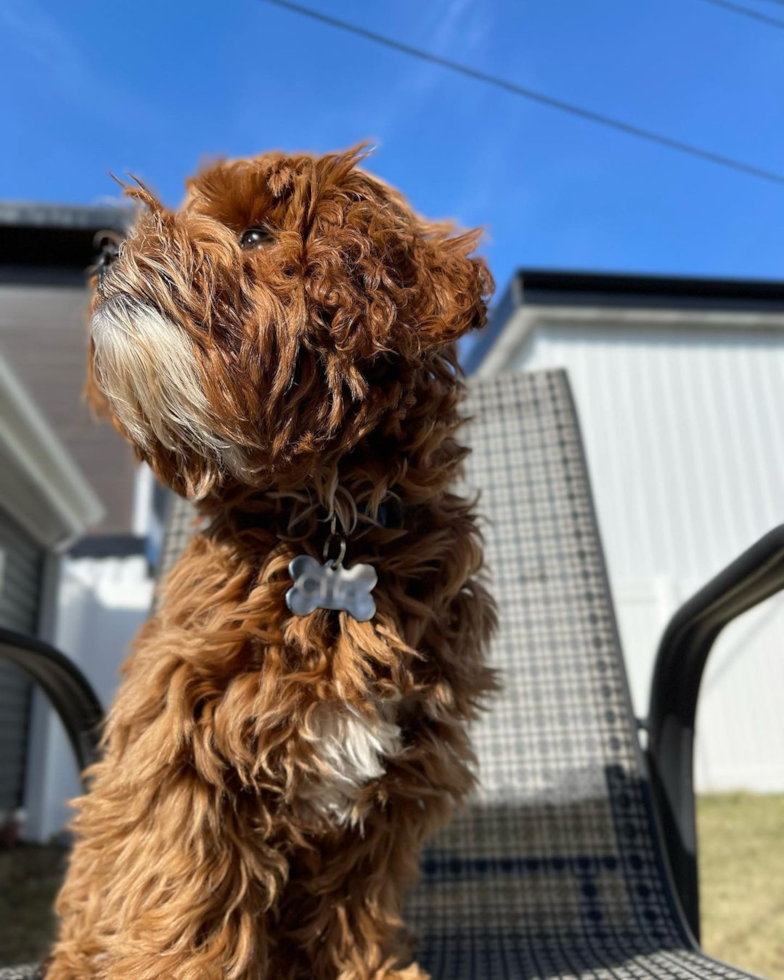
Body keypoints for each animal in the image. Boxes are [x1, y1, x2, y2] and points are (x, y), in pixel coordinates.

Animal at [47, 145, 496, 980]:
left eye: (256, 235)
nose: (106, 250)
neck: (328, 527)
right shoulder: (182, 750)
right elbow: (187, 899)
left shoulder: (394, 790)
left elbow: (353, 911)